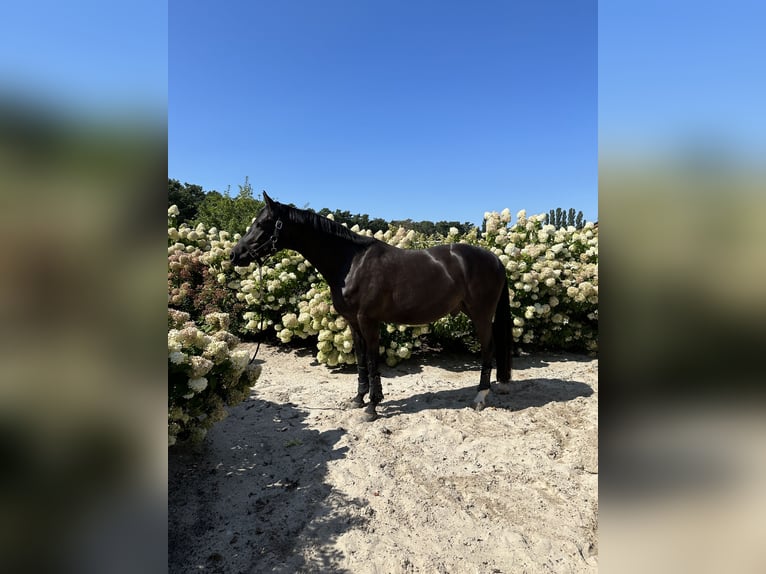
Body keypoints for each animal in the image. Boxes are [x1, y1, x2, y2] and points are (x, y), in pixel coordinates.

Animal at [231, 195, 512, 424]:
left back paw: (480, 396)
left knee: (488, 348)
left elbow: (372, 359)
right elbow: (360, 360)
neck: (351, 263)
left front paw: (372, 407)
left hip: (481, 316)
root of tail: (495, 259)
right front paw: (359, 399)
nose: (235, 255)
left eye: (263, 223)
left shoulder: (369, 321)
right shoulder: (353, 323)